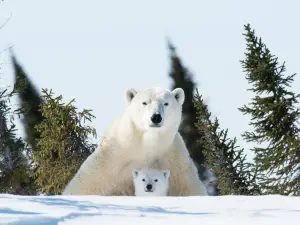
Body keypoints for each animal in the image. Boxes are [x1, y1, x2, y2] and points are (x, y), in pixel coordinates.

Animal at [62, 87, 209, 196]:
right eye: (144, 102)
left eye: (166, 103)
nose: (156, 117)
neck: (147, 144)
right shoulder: (113, 157)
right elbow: (87, 184)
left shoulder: (173, 159)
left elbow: (189, 187)